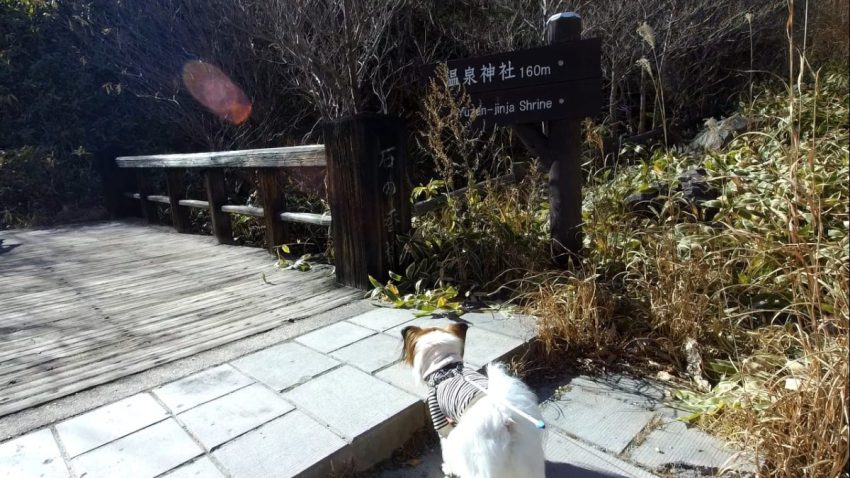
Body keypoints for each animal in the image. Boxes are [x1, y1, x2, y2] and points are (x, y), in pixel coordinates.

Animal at [402, 322, 548, 478]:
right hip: (528, 457)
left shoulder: (442, 421)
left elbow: (445, 449)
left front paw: (447, 468)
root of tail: (505, 419)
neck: (444, 366)